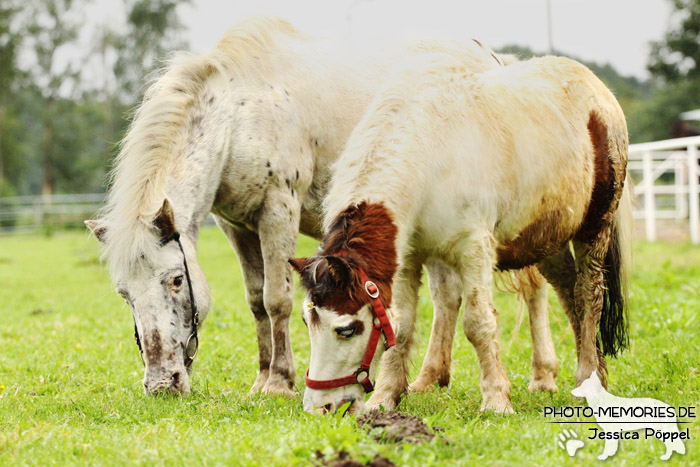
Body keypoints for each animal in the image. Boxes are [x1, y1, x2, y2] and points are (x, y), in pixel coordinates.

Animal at [85, 17, 544, 394]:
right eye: (124, 293)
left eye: (177, 280)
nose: (162, 383)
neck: (240, 113)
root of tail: (494, 60)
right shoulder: (236, 226)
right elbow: (256, 302)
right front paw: (261, 379)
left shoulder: (277, 212)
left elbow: (277, 299)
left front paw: (279, 382)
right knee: (447, 296)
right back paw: (429, 379)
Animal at [292, 53, 632, 414]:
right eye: (306, 321)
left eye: (346, 329)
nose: (320, 407)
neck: (429, 151)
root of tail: (597, 89)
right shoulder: (408, 257)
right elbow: (403, 324)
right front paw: (384, 398)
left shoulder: (474, 250)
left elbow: (478, 323)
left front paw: (496, 400)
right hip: (546, 240)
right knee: (568, 293)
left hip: (594, 229)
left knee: (588, 295)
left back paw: (588, 379)